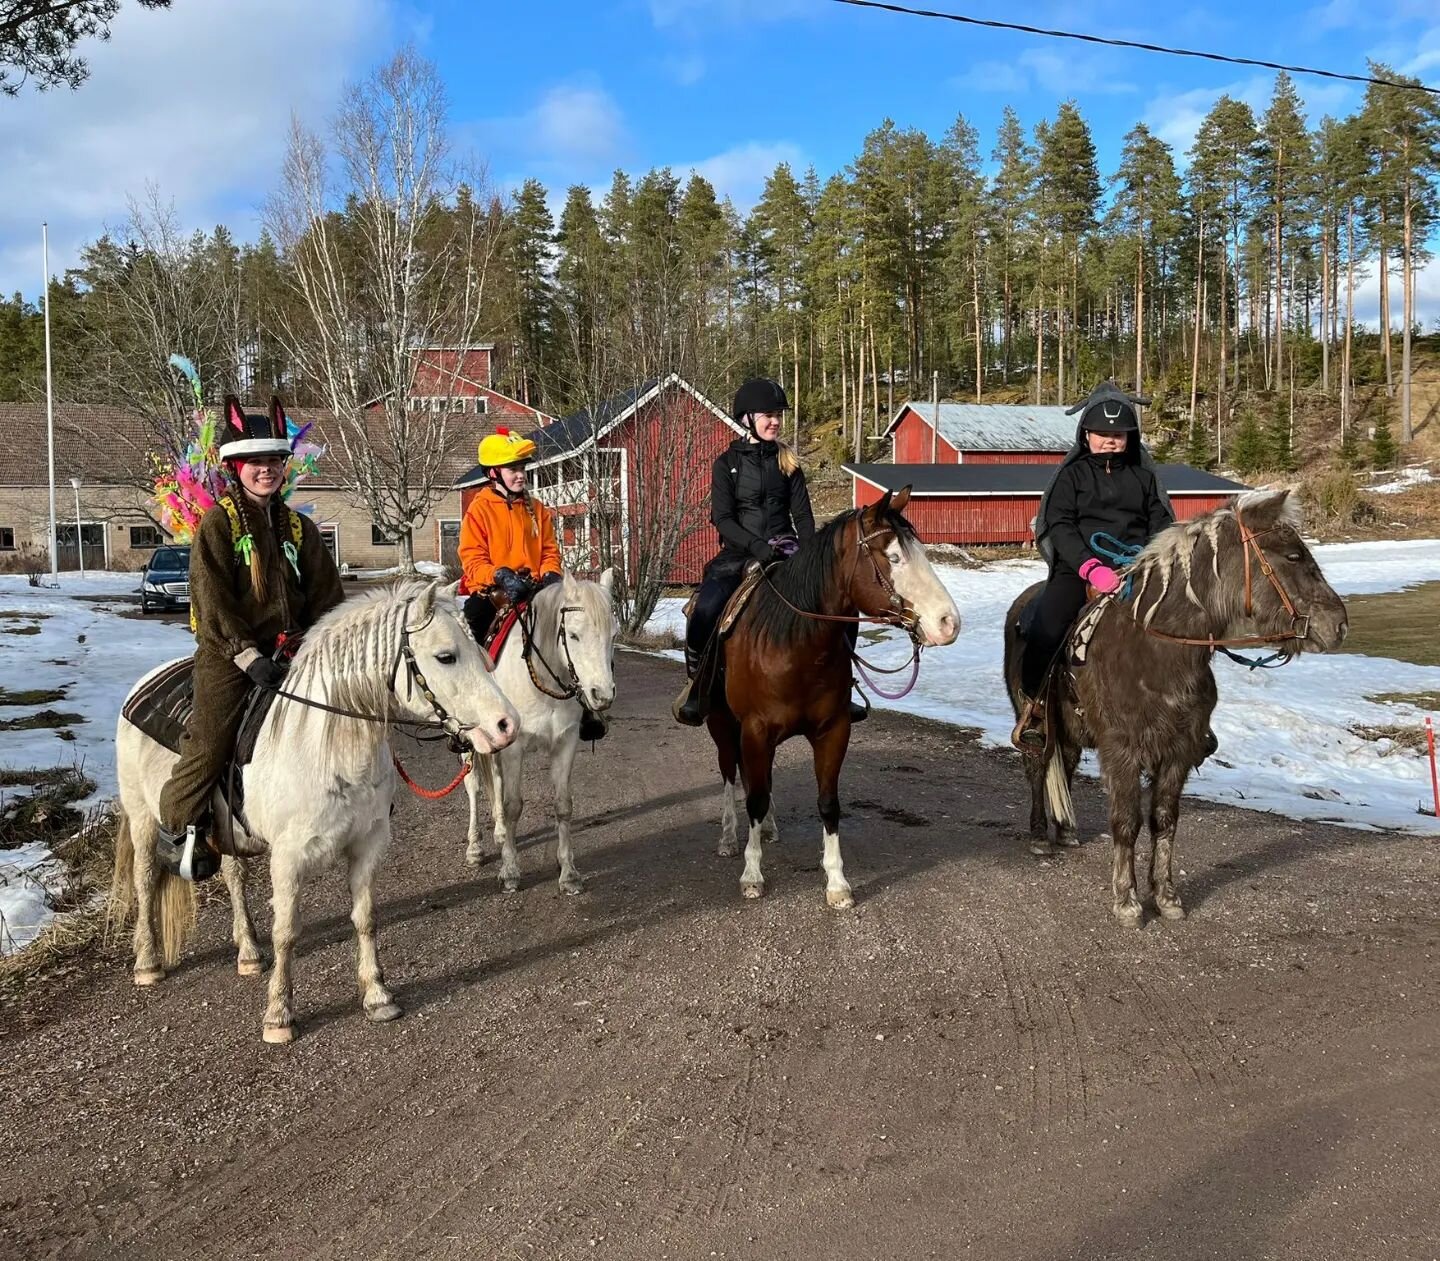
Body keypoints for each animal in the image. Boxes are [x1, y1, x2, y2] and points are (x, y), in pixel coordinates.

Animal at [109, 581, 521, 1042]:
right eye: (445, 656)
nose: (506, 725)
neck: (326, 746)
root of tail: (143, 683)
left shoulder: (367, 844)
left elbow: (365, 917)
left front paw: (377, 995)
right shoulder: (288, 858)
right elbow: (287, 932)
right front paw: (278, 1015)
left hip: (228, 831)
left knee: (233, 877)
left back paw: (248, 951)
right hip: (144, 819)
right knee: (146, 882)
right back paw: (148, 963)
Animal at [463, 567, 616, 892]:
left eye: (614, 635)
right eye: (573, 635)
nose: (602, 695)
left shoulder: (565, 743)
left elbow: (563, 805)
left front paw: (568, 872)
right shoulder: (514, 748)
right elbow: (513, 805)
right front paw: (510, 871)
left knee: (495, 781)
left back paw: (499, 833)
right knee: (474, 785)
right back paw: (475, 848)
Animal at [705, 483, 961, 904]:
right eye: (893, 557)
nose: (949, 623)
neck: (794, 646)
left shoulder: (833, 730)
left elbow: (827, 802)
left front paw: (837, 882)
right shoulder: (755, 729)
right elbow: (753, 797)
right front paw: (752, 874)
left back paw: (770, 828)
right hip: (722, 724)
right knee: (730, 773)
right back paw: (727, 838)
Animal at [1002, 489, 1347, 927]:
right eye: (1293, 556)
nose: (1339, 625)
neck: (1158, 648)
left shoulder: (1179, 751)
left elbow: (1164, 821)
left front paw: (1166, 896)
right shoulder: (1122, 750)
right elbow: (1127, 822)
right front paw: (1127, 901)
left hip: (1071, 731)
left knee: (1063, 764)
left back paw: (1064, 830)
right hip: (1035, 721)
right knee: (1037, 767)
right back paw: (1038, 835)